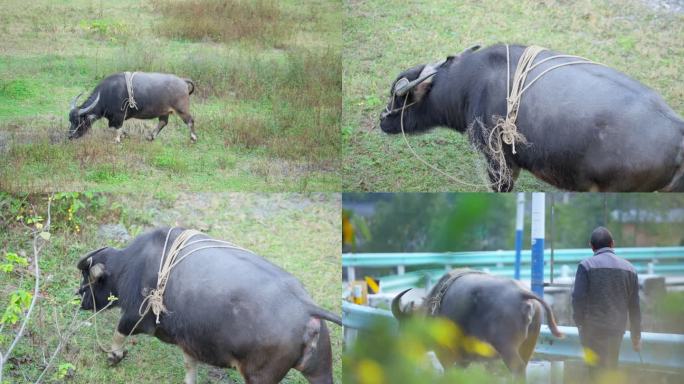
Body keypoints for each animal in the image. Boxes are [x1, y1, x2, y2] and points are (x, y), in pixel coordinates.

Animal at [68, 71, 196, 142]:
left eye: (80, 121)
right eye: (70, 120)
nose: (70, 136)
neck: (108, 93)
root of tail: (182, 81)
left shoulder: (119, 116)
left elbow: (117, 127)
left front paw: (117, 139)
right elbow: (114, 127)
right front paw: (124, 135)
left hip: (182, 109)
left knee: (190, 121)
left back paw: (193, 138)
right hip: (164, 111)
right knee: (163, 122)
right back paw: (151, 137)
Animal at [76, 228, 340, 384]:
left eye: (88, 278)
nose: (80, 300)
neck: (133, 264)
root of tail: (305, 307)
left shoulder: (136, 316)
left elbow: (119, 333)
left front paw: (114, 356)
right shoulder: (188, 339)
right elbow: (189, 364)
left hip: (259, 377)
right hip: (320, 370)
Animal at [392, 272, 564, 376]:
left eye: (405, 325)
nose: (399, 348)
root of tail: (522, 294)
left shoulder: (446, 354)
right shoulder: (466, 360)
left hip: (507, 348)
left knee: (517, 368)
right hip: (527, 347)